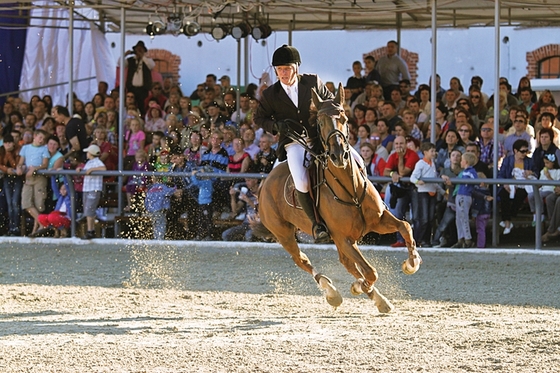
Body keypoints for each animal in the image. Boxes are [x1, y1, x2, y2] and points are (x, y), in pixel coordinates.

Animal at [254, 83, 420, 310]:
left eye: (344, 117)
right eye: (320, 122)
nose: (338, 155)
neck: (351, 190)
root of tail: (265, 181)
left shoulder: (378, 221)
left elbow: (405, 227)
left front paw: (412, 263)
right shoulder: (343, 237)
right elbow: (370, 272)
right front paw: (359, 287)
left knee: (347, 263)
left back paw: (379, 300)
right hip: (284, 234)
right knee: (302, 260)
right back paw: (332, 292)